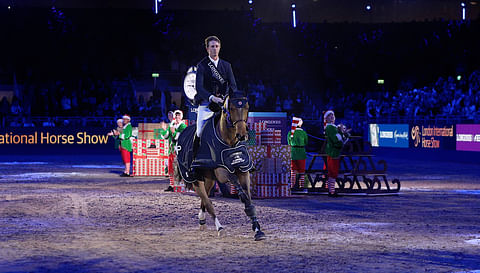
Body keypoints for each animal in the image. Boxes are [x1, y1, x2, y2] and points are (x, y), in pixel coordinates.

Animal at [187, 95, 264, 240]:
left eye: (247, 107)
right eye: (231, 108)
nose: (242, 134)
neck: (230, 142)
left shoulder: (244, 171)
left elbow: (249, 199)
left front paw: (257, 230)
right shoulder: (222, 172)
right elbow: (239, 190)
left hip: (209, 180)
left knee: (205, 199)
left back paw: (202, 220)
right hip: (196, 180)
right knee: (208, 203)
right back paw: (220, 228)